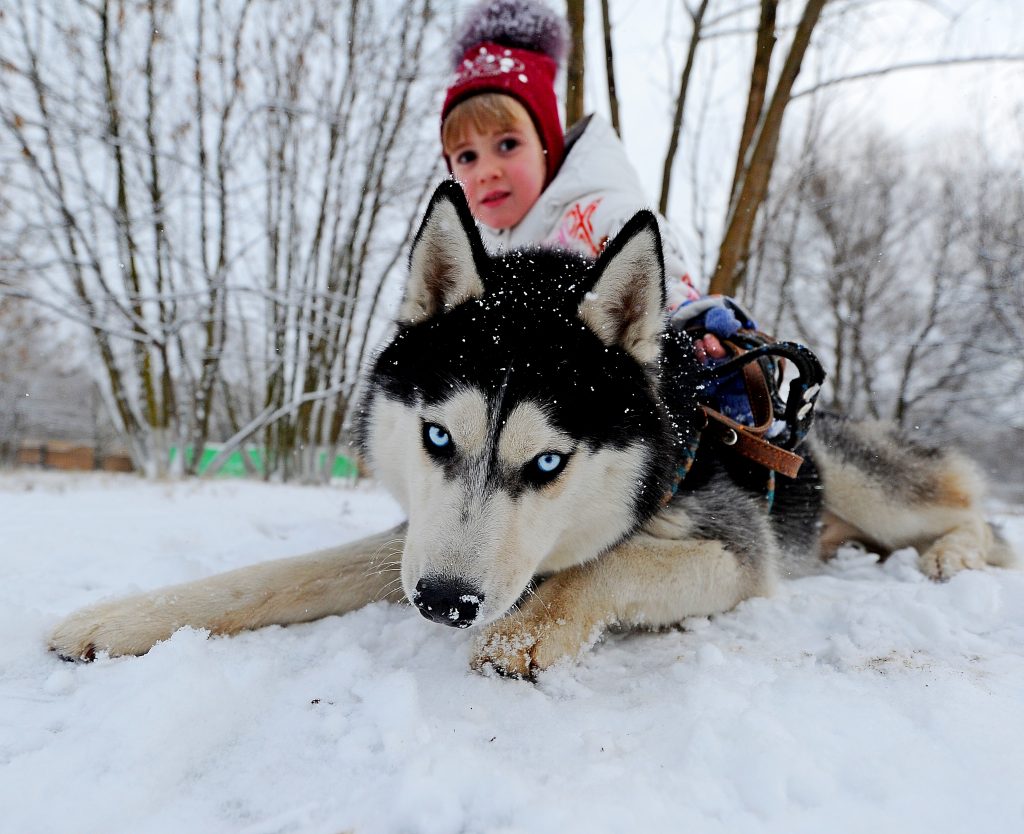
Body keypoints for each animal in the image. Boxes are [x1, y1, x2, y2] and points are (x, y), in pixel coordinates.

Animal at [49, 182, 1015, 680]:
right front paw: (123, 618)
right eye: (437, 439)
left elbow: (611, 563)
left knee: (977, 517)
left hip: (856, 480)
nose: (445, 603)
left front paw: (528, 629)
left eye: (549, 461)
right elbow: (277, 578)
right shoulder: (418, 538)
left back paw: (954, 555)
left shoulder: (739, 555)